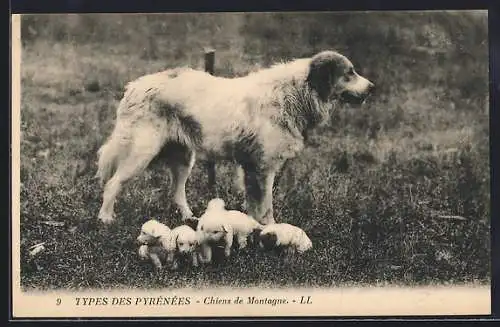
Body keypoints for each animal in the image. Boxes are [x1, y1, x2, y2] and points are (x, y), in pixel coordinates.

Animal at [95, 50, 374, 227]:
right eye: (349, 73)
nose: (372, 88)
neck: (293, 93)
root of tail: (135, 86)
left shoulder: (254, 167)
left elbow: (257, 204)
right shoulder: (261, 168)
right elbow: (265, 205)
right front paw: (268, 229)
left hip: (184, 158)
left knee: (177, 191)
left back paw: (188, 217)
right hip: (141, 153)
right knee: (113, 183)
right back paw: (106, 218)